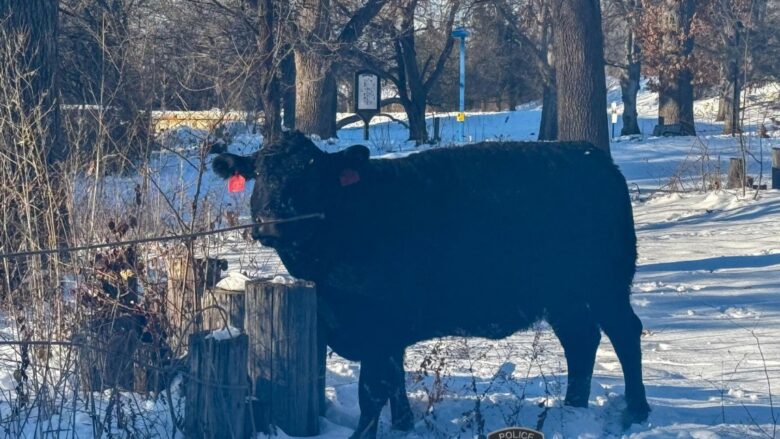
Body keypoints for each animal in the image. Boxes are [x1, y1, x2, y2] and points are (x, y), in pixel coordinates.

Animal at [213, 132, 652, 438]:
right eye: (258, 174)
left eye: (309, 173)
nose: (272, 220)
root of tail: (591, 155)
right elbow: (393, 381)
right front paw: (404, 423)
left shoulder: (378, 325)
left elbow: (372, 390)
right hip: (564, 297)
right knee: (581, 340)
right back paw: (574, 407)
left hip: (605, 285)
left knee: (624, 334)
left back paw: (636, 411)